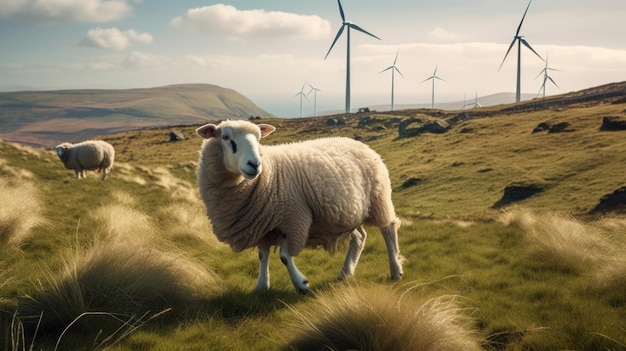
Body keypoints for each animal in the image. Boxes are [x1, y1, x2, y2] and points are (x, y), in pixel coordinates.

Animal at [194, 120, 404, 294]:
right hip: (345, 214)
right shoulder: (262, 224)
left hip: (379, 199)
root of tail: (358, 142)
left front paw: (301, 284)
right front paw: (261, 286)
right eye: (225, 137)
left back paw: (395, 270)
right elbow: (263, 256)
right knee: (360, 237)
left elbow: (285, 257)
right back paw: (345, 273)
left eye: (259, 138)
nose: (254, 164)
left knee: (388, 228)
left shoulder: (294, 218)